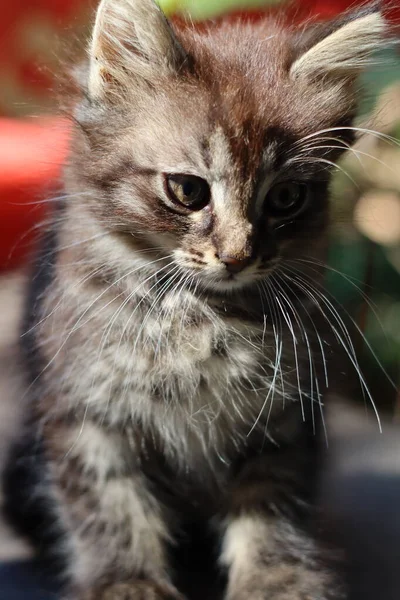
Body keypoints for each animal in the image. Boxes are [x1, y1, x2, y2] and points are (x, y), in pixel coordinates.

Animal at [1, 1, 390, 600]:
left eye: (286, 197)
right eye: (188, 190)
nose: (237, 256)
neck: (200, 315)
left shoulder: (284, 420)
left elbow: (269, 508)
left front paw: (277, 580)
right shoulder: (86, 409)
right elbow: (111, 509)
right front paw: (128, 584)